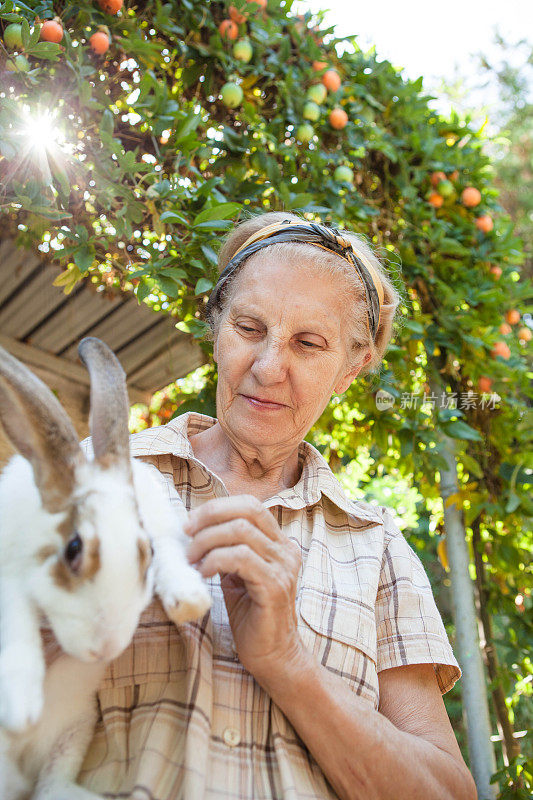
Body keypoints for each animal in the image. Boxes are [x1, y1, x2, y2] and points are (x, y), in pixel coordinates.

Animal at [0, 340, 211, 800]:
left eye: (145, 552)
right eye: (73, 548)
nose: (104, 649)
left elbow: (173, 556)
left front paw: (189, 599)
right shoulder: (7, 576)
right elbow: (17, 616)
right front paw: (21, 702)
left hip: (76, 728)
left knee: (51, 785)